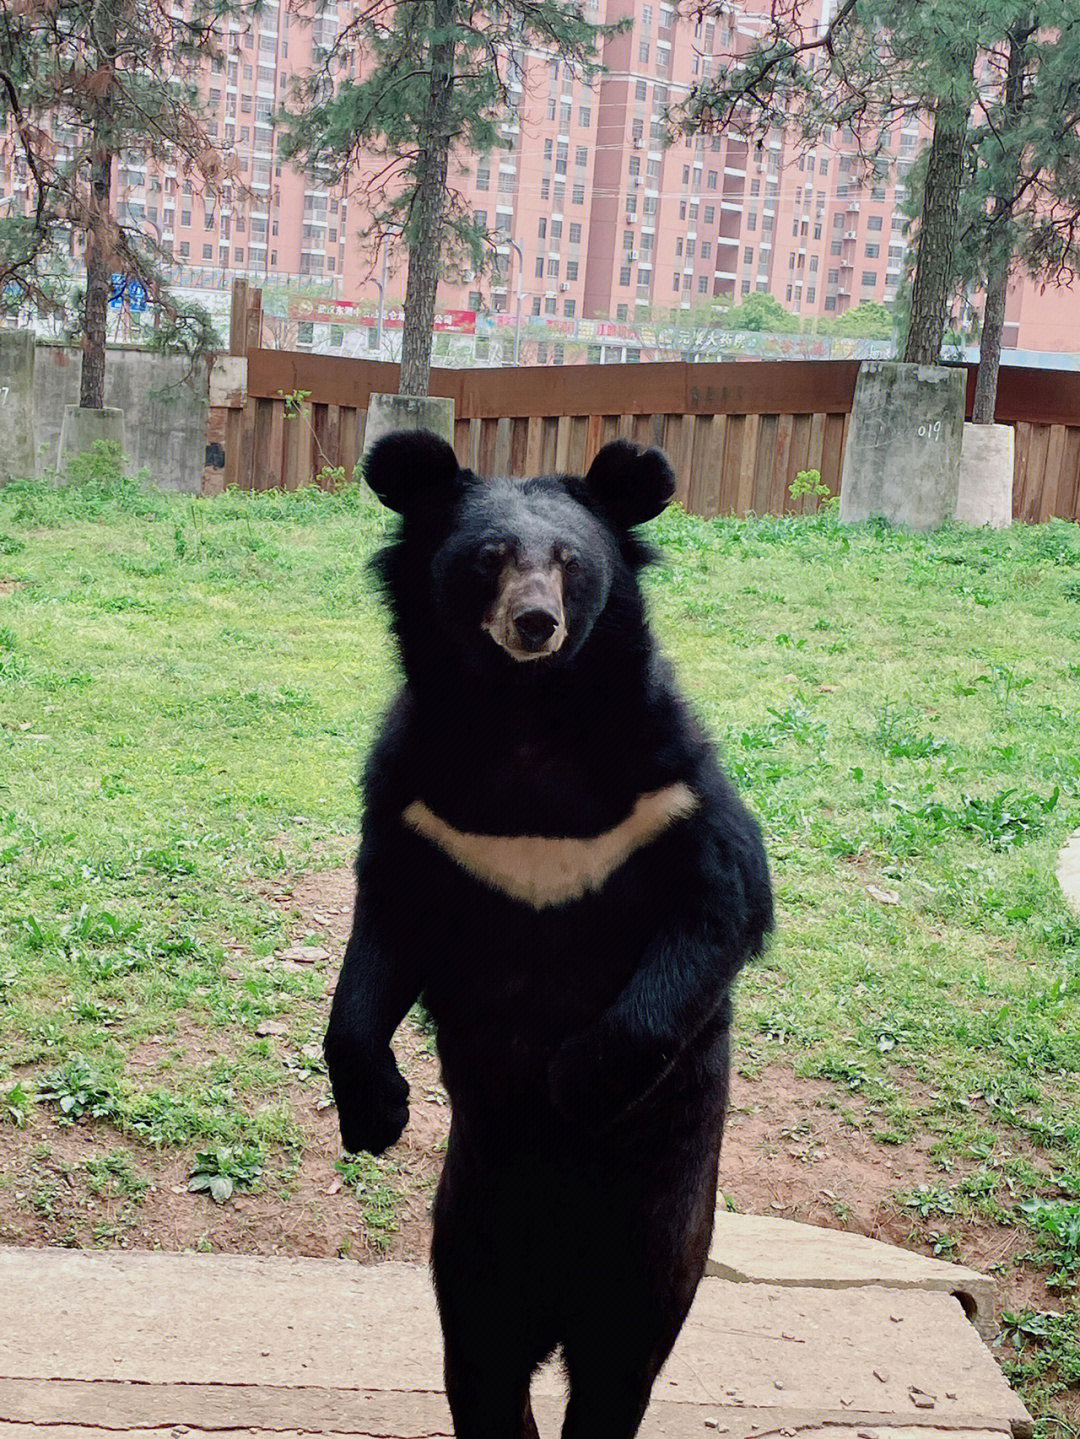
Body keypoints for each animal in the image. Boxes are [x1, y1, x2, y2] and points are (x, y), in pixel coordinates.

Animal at [325, 431, 770, 1439]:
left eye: (570, 562)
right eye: (489, 558)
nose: (534, 623)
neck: (524, 717)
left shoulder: (669, 787)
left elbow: (722, 903)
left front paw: (576, 1079)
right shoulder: (418, 802)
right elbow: (383, 938)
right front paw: (377, 1113)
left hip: (659, 1208)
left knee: (619, 1359)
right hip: (477, 1217)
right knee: (483, 1352)